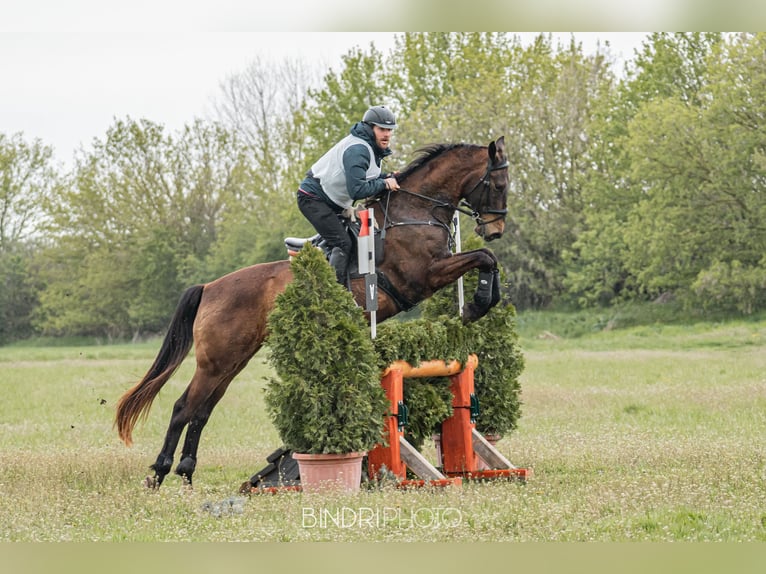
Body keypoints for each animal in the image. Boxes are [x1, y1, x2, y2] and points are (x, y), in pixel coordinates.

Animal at [115, 136, 510, 490]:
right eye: (498, 184)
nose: (495, 230)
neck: (413, 213)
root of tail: (210, 287)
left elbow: (488, 259)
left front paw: (477, 303)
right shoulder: (424, 275)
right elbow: (484, 258)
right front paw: (475, 304)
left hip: (233, 360)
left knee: (202, 410)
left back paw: (186, 472)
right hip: (217, 360)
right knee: (184, 407)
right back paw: (160, 473)